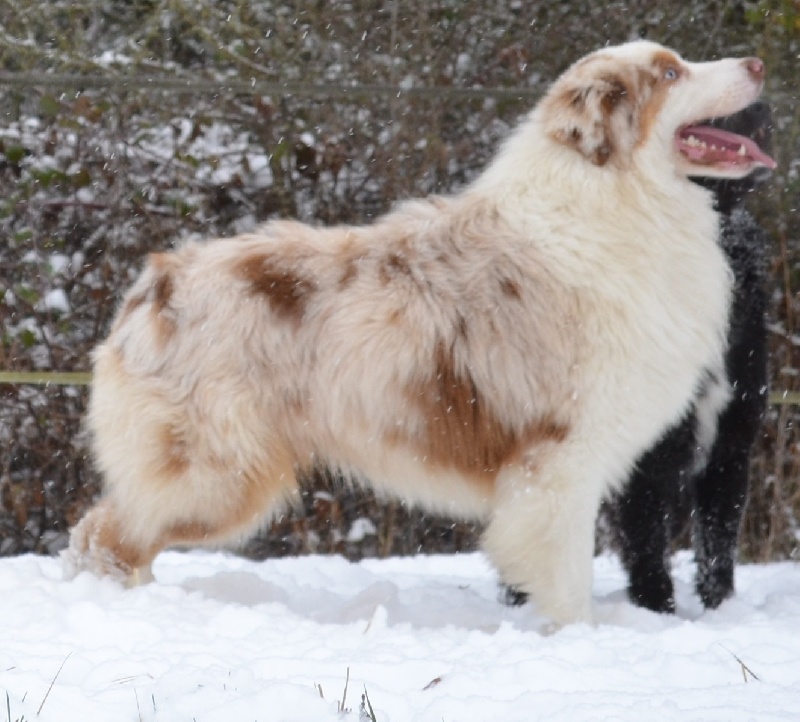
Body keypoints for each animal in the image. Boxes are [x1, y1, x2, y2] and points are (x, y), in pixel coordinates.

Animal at [64, 41, 773, 627]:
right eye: (670, 73)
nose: (759, 64)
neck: (613, 195)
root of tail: (154, 285)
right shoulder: (558, 458)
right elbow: (569, 579)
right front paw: (580, 643)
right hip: (216, 471)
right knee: (105, 536)